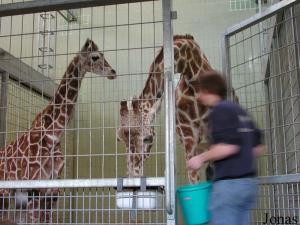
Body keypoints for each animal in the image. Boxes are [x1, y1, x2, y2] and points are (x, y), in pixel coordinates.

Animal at [0, 38, 116, 221]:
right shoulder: (34, 187)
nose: (113, 72)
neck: (52, 134)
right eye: (95, 57)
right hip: (6, 192)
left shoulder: (53, 190)